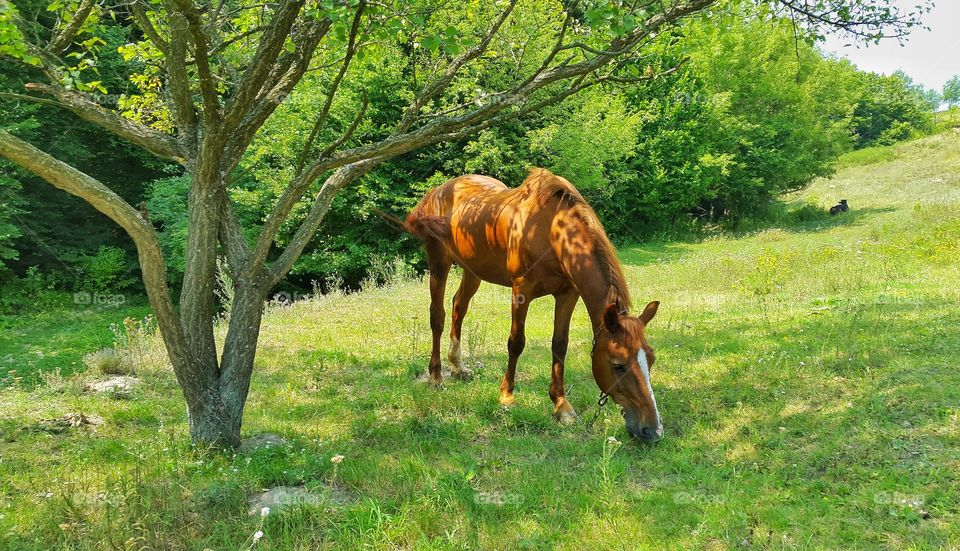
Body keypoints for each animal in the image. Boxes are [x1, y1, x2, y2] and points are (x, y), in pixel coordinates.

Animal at [402, 168, 664, 444]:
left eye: (651, 359)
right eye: (618, 365)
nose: (653, 430)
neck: (552, 230)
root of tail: (437, 192)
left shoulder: (568, 294)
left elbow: (559, 345)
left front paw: (561, 406)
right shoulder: (521, 291)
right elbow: (516, 343)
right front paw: (506, 397)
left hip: (472, 270)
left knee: (458, 306)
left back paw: (459, 366)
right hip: (439, 264)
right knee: (437, 316)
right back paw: (436, 377)